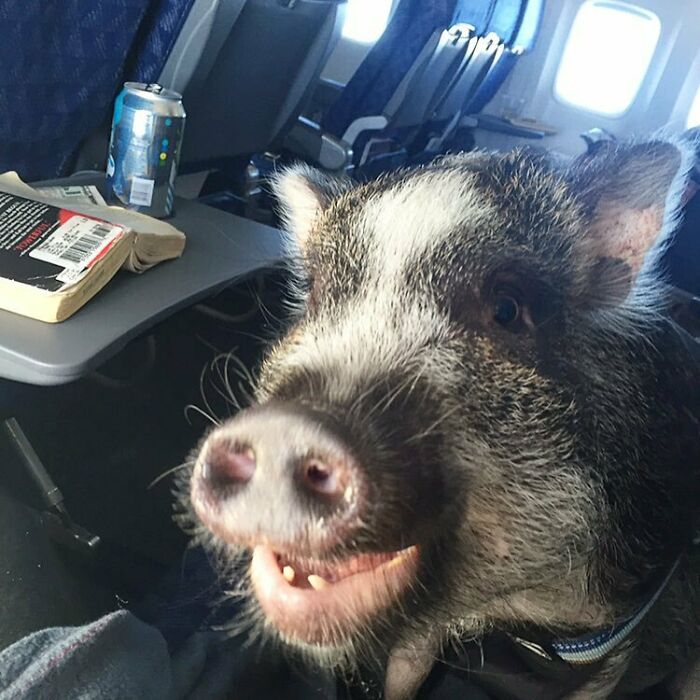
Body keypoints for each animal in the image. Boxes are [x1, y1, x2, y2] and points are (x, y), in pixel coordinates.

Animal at [183, 139, 700, 700]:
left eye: (507, 309)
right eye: (318, 295)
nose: (285, 428)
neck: (496, 610)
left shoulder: (615, 635)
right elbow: (405, 672)